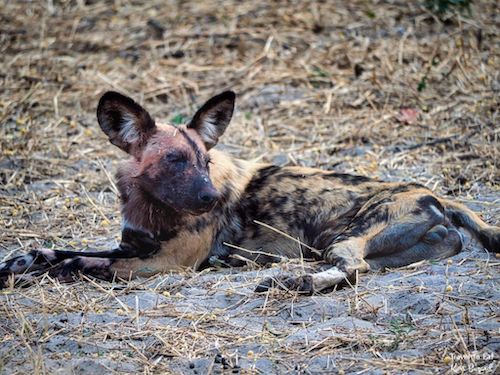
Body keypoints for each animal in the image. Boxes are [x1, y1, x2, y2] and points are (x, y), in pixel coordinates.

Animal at [0, 92, 500, 294]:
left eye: (204, 161)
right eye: (174, 160)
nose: (208, 197)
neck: (152, 206)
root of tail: (434, 192)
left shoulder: (161, 263)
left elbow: (78, 264)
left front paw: (32, 275)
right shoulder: (133, 247)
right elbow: (61, 251)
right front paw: (20, 263)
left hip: (345, 237)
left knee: (352, 269)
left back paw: (294, 283)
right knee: (373, 266)